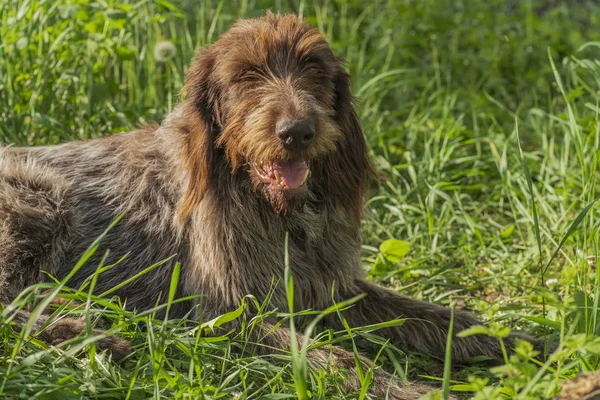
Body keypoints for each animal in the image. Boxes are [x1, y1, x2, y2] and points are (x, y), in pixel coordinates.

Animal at [0, 13, 544, 400]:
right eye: (246, 76)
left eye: (314, 71)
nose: (297, 132)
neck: (280, 214)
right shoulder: (227, 314)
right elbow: (338, 358)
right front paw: (408, 389)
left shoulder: (335, 289)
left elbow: (442, 317)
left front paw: (526, 344)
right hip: (40, 201)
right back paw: (87, 333)